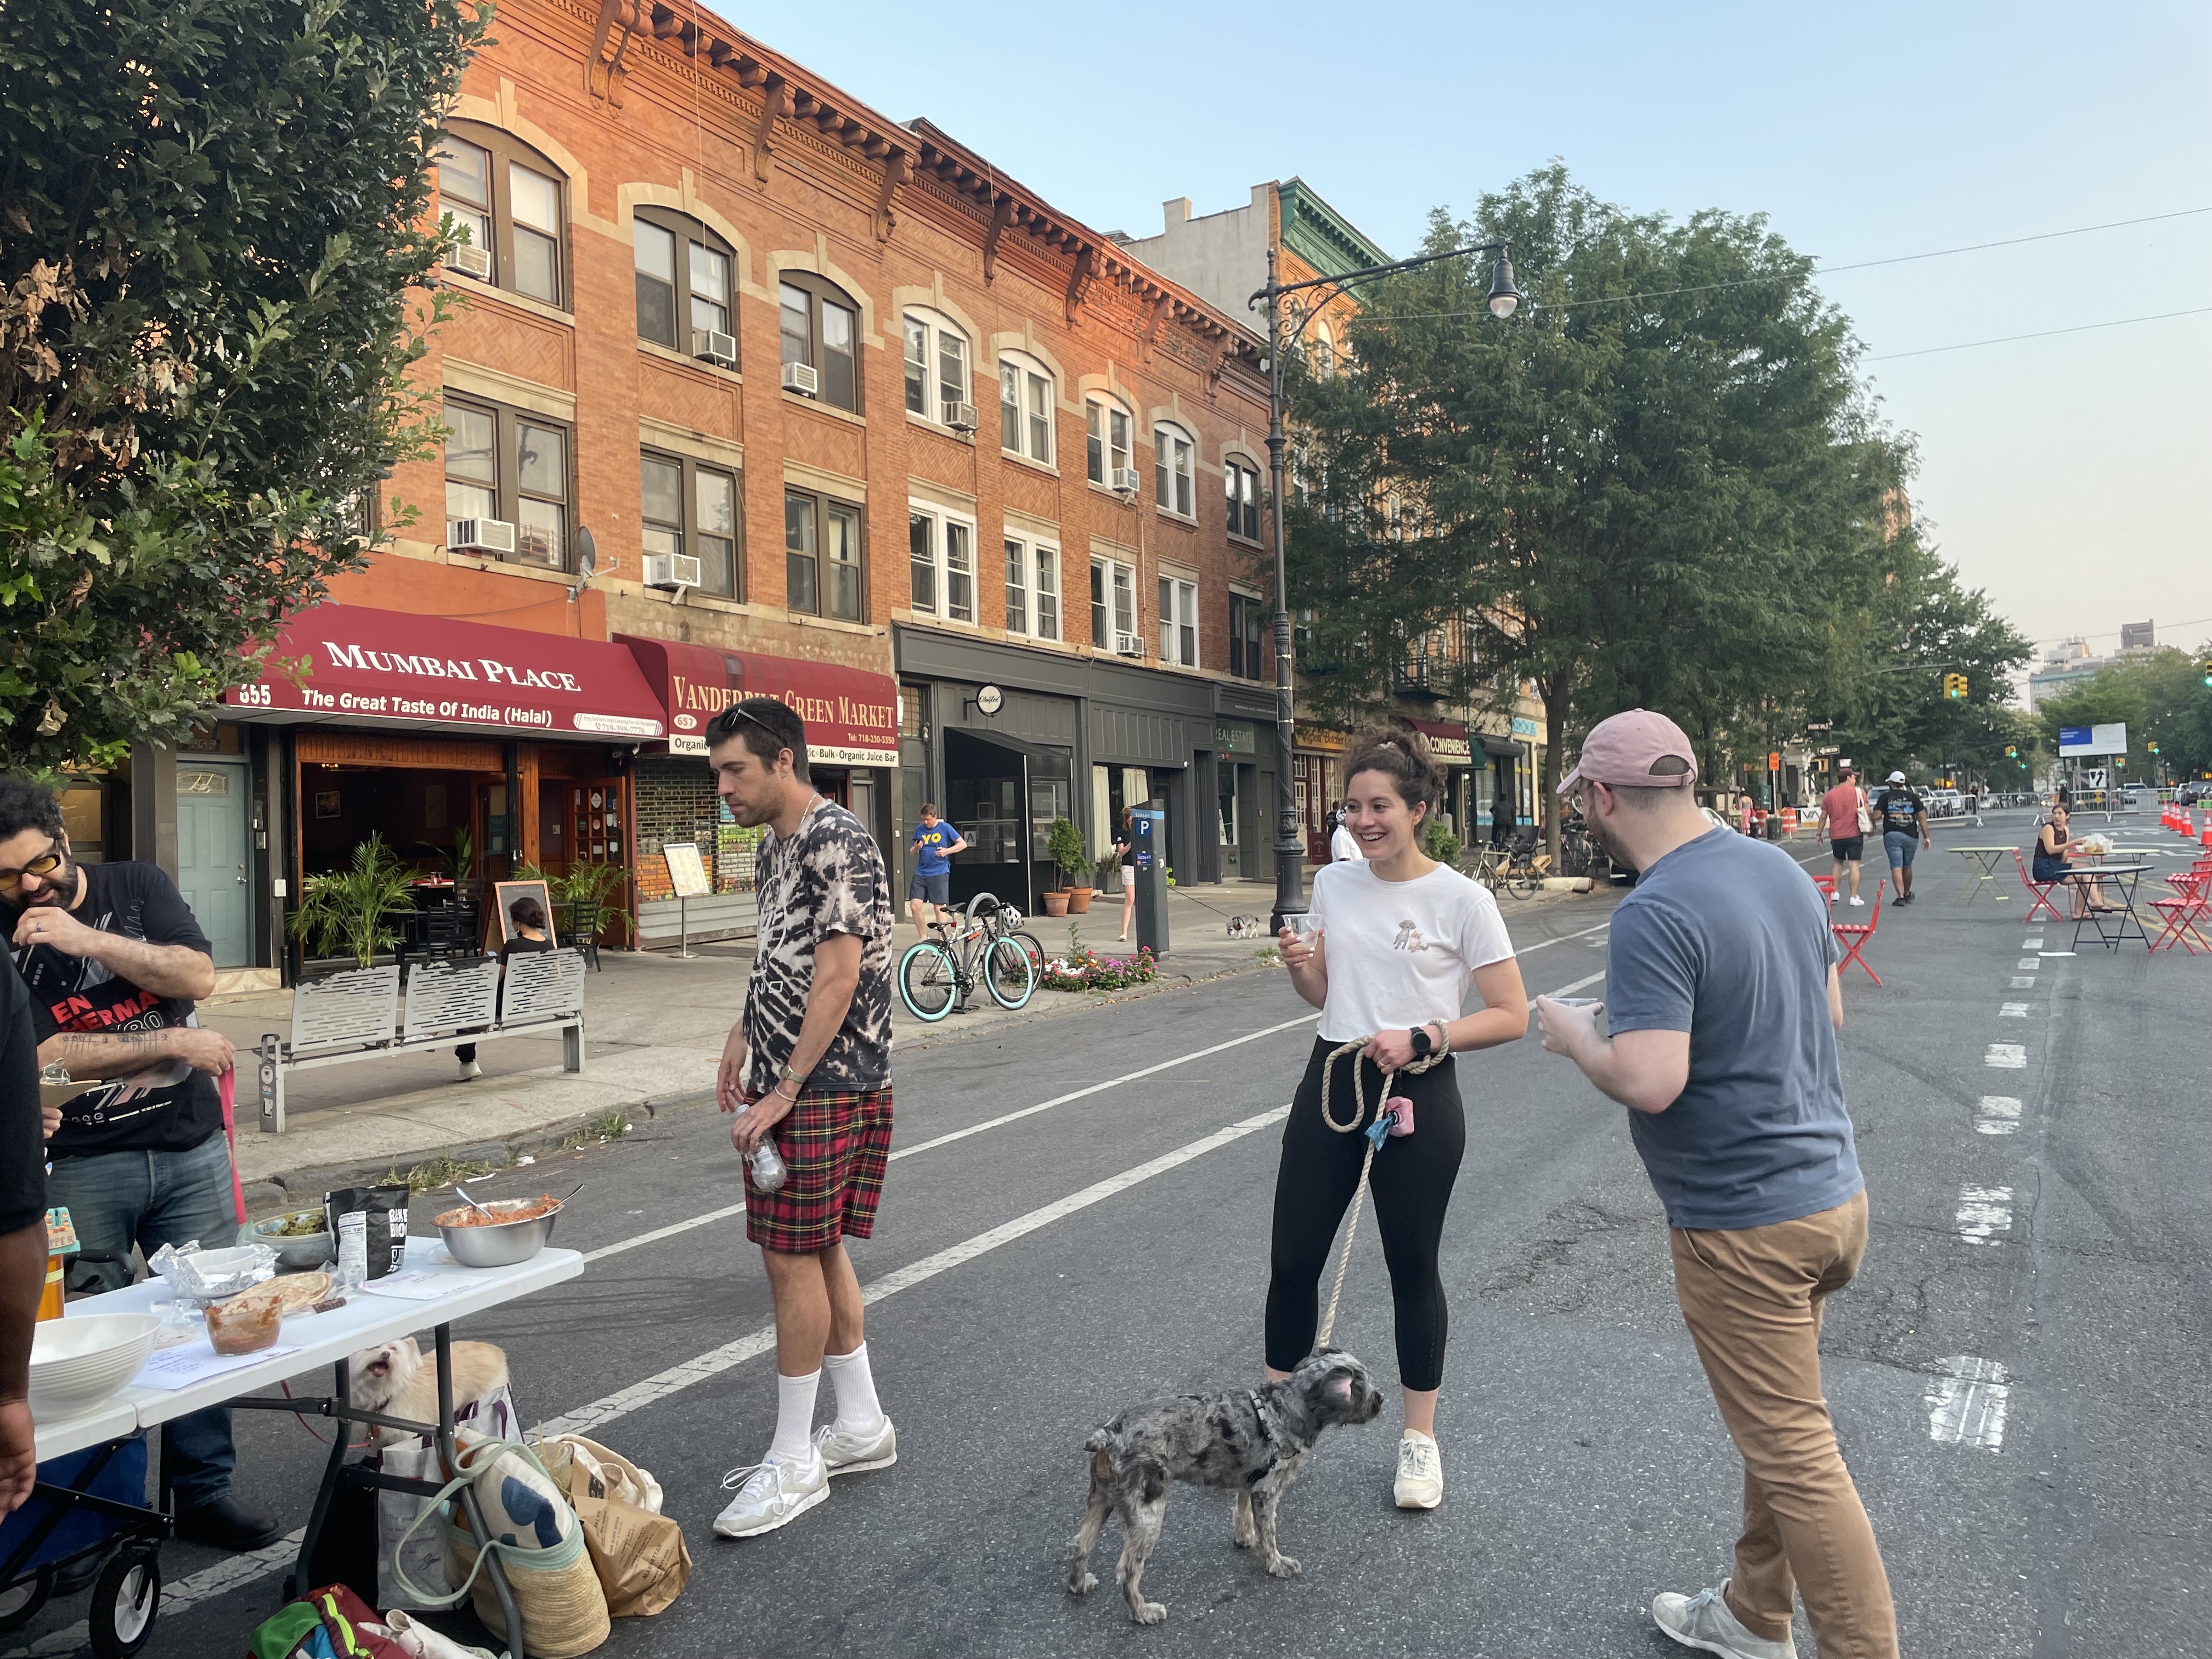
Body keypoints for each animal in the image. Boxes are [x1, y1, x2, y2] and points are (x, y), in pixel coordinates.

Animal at [1066, 1353, 1380, 1628]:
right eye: (1363, 1388)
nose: (1382, 1399)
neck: (1286, 1408)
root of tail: (1112, 1432)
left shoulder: (1250, 1482)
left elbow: (1242, 1513)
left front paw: (1245, 1538)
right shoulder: (1267, 1491)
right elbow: (1269, 1534)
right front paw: (1277, 1563)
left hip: (1103, 1497)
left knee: (1080, 1544)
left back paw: (1079, 1584)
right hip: (1148, 1512)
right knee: (1128, 1570)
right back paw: (1142, 1612)